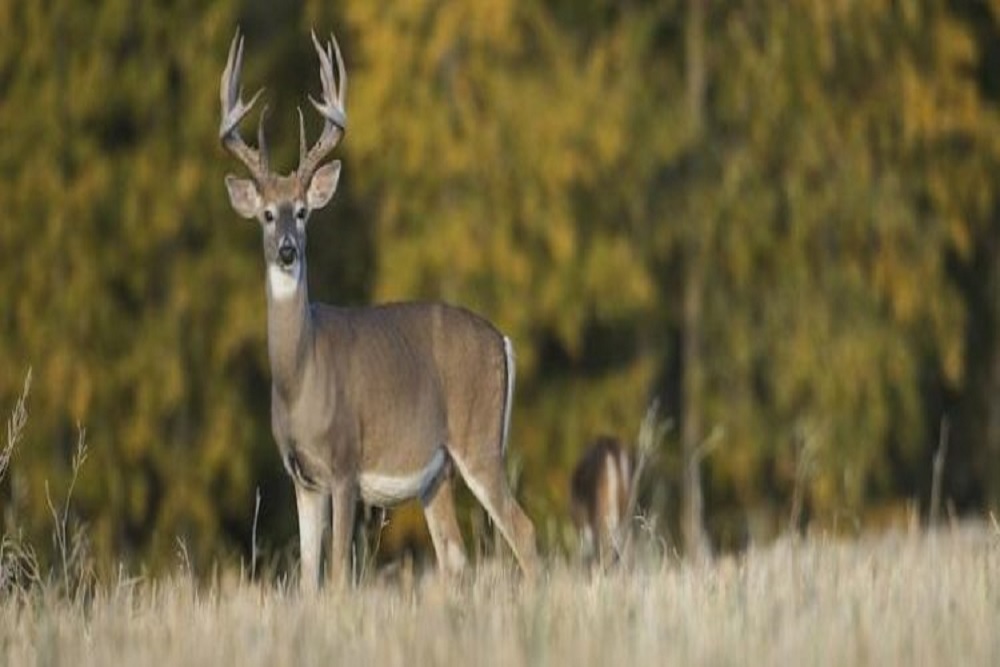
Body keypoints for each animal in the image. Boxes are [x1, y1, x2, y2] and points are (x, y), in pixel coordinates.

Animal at [218, 29, 538, 591]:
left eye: (304, 212)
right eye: (267, 214)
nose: (287, 251)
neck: (300, 376)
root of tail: (502, 340)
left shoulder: (345, 465)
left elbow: (339, 573)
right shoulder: (302, 478)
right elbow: (308, 578)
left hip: (478, 438)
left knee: (523, 530)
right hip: (437, 472)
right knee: (455, 555)